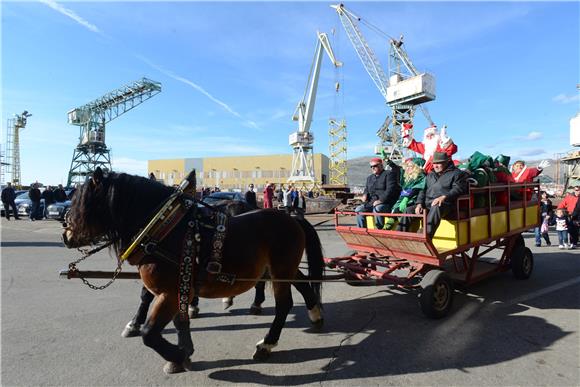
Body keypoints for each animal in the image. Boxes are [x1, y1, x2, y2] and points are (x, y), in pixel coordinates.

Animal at [65, 168, 326, 374]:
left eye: (82, 203)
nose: (66, 235)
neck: (165, 230)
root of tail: (290, 217)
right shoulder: (179, 290)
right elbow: (178, 320)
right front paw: (183, 350)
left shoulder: (170, 293)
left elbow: (150, 334)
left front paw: (177, 355)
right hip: (281, 269)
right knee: (303, 284)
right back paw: (315, 315)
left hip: (281, 270)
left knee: (284, 305)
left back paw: (267, 343)